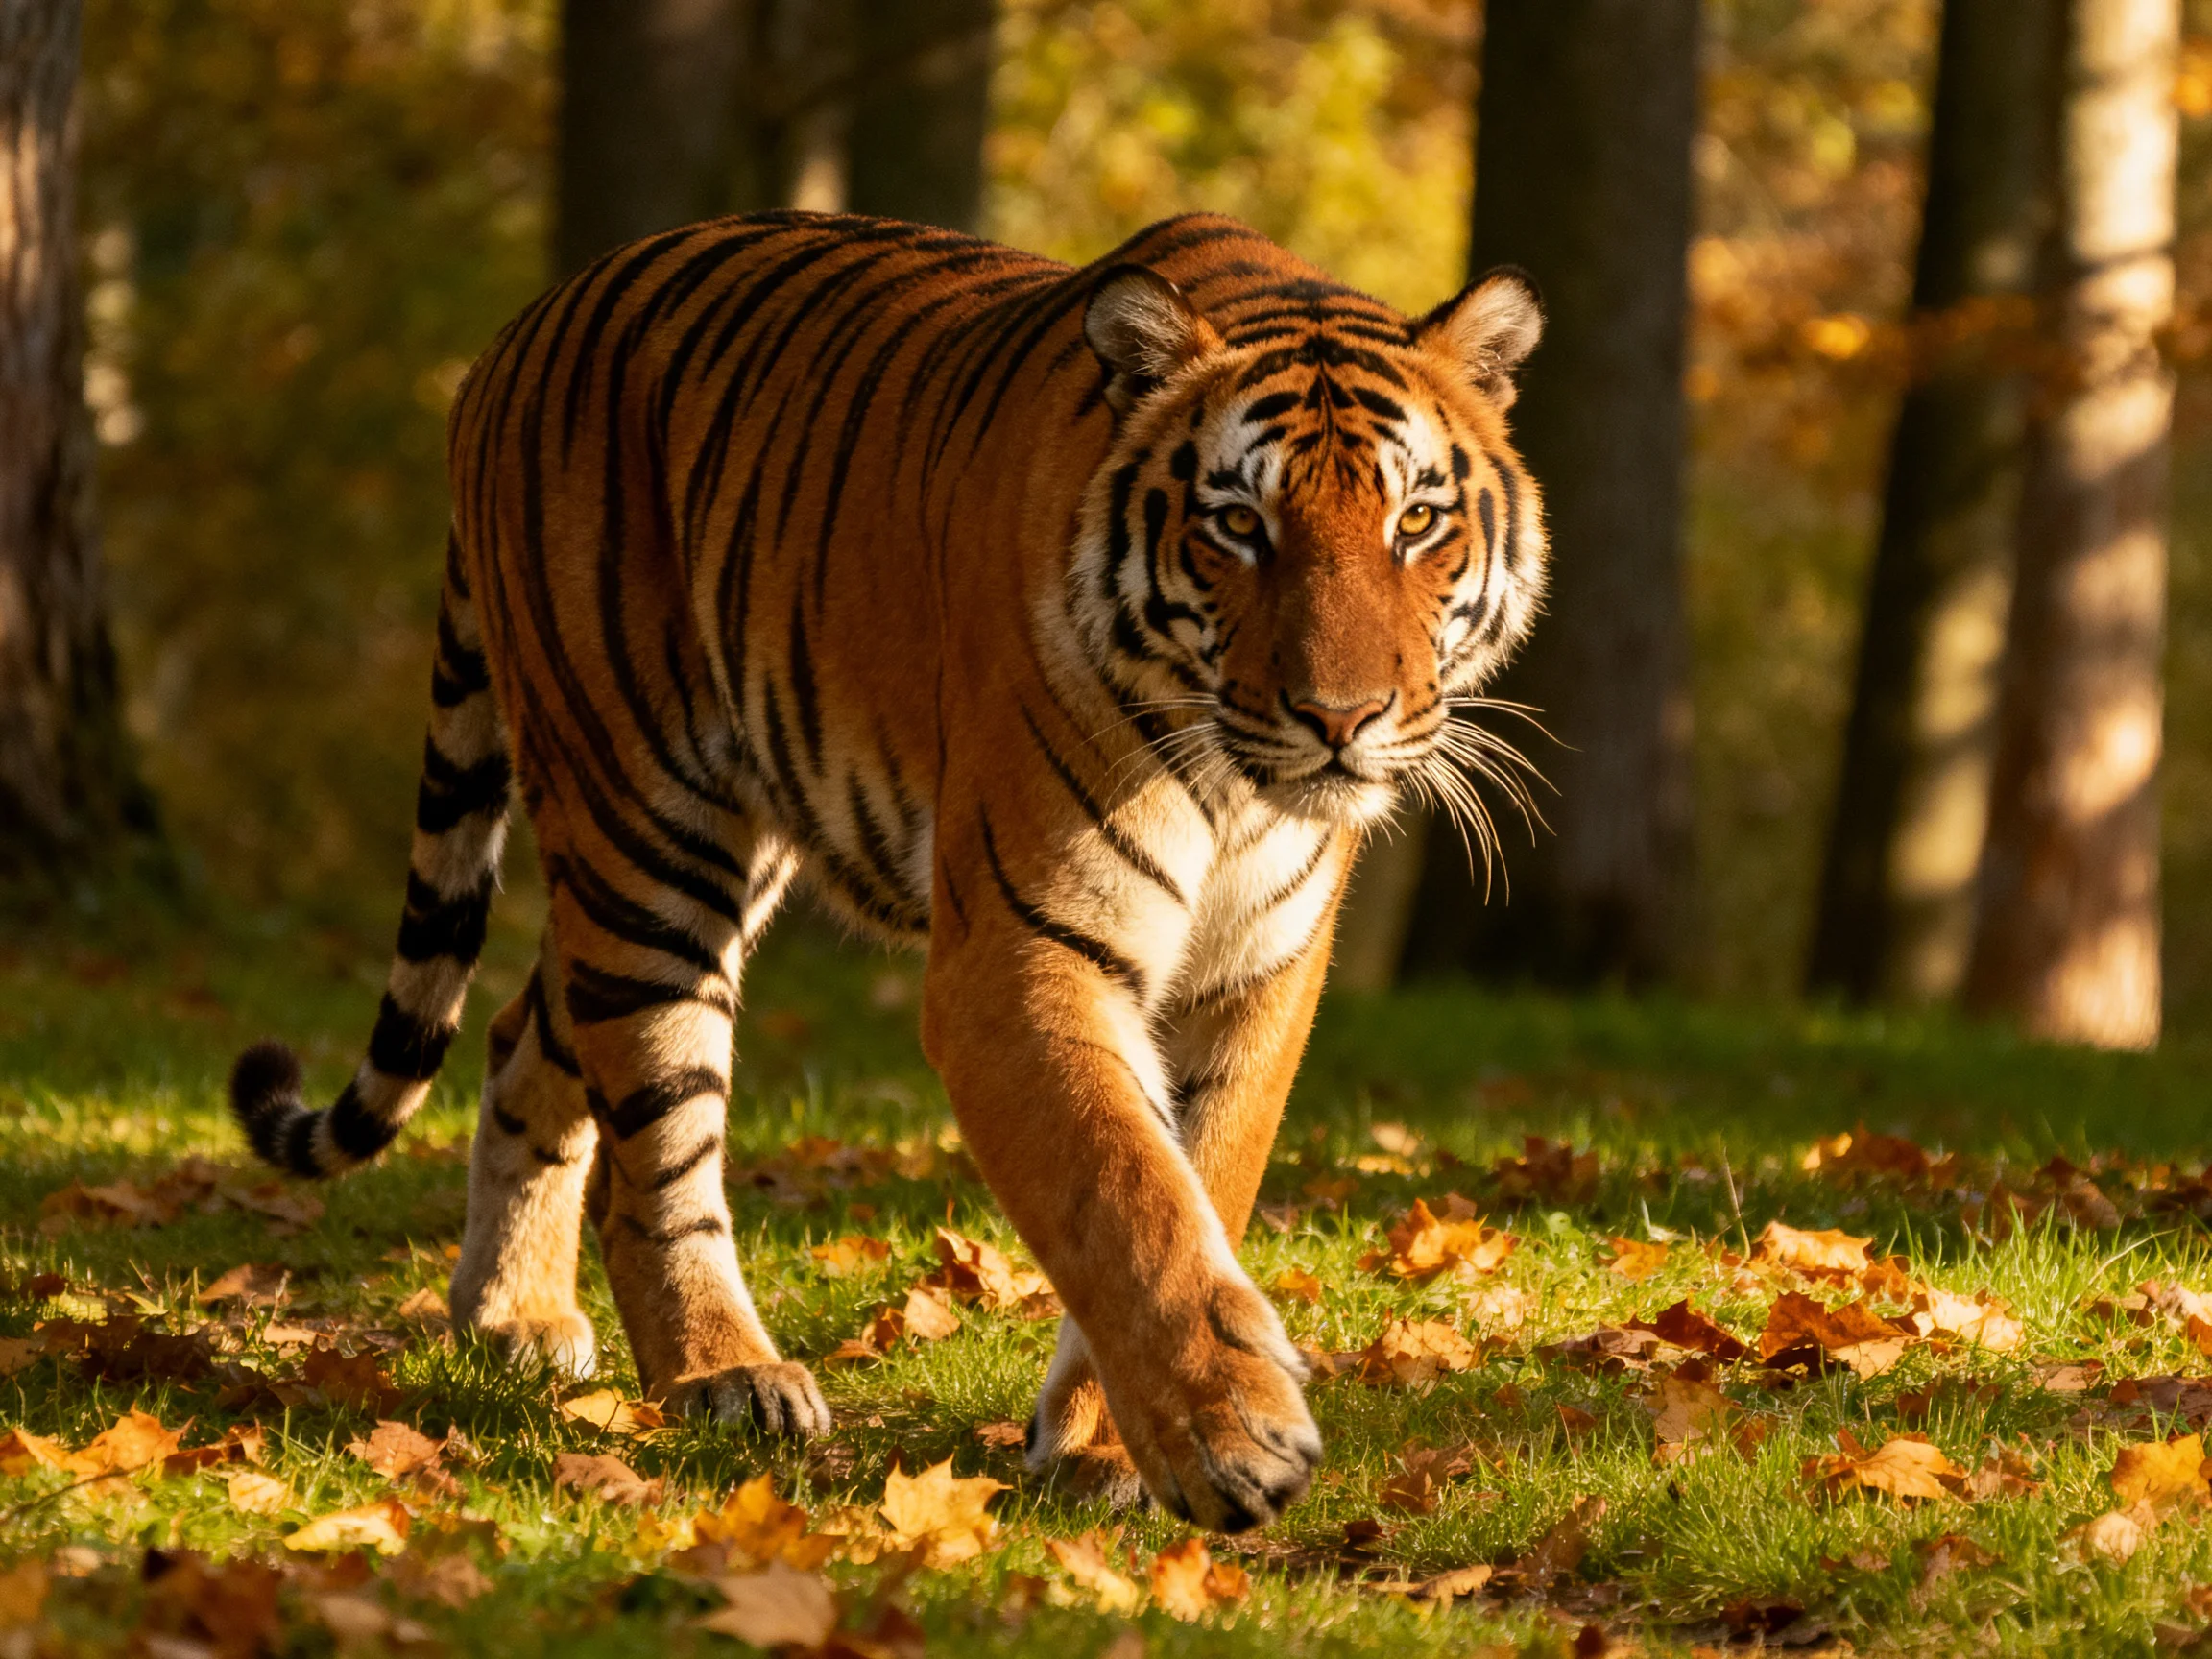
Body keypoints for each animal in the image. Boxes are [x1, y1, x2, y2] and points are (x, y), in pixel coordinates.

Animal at [228, 210, 1546, 1533]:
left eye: (1416, 523)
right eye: (1238, 526)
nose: (1342, 718)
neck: (1233, 788)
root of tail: (512, 338)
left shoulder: (1259, 972)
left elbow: (1201, 1179)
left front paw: (1106, 1445)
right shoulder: (1020, 955)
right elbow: (1124, 1193)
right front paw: (1230, 1444)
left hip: (682, 848)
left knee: (523, 1033)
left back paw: (514, 1317)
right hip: (648, 830)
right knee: (657, 1145)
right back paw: (724, 1375)